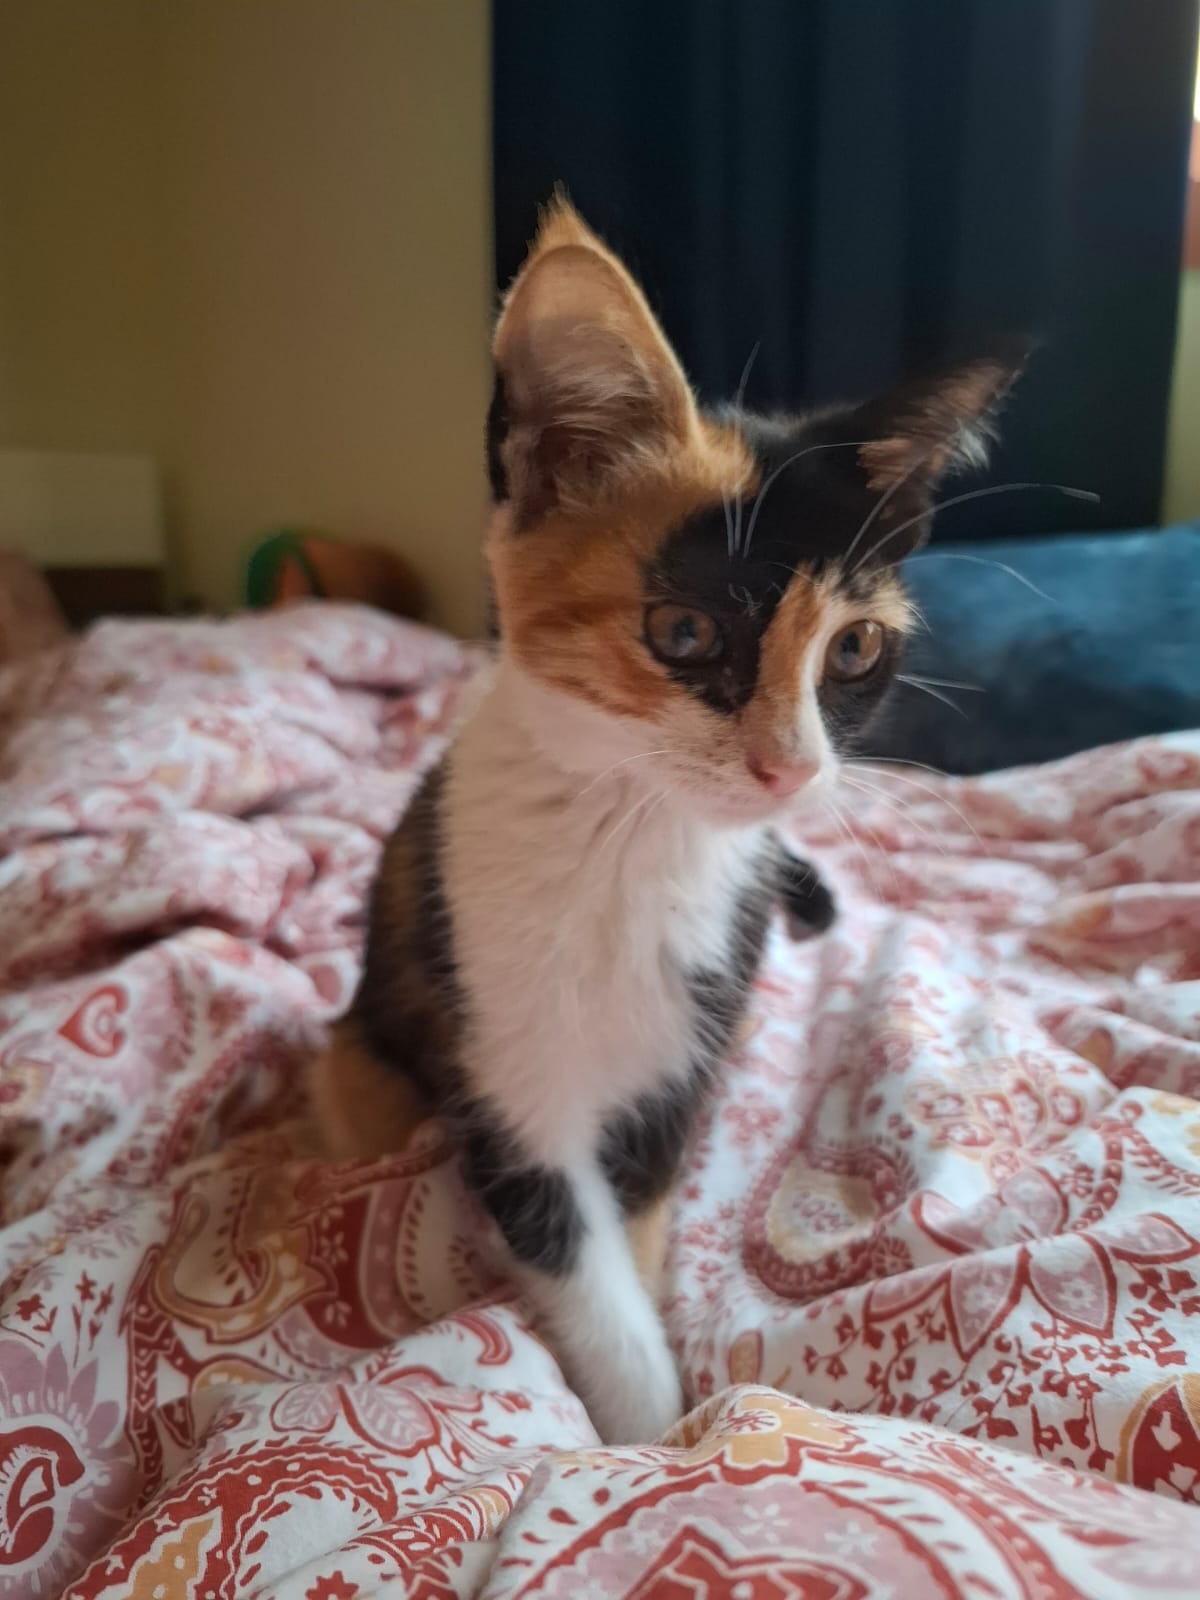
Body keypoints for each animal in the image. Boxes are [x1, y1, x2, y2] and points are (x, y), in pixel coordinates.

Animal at [310, 198, 1021, 1445]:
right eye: (684, 633)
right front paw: (645, 1430)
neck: (634, 840)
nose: (789, 769)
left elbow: (636, 1222)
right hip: (365, 1054)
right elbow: (570, 1244)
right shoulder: (500, 1064)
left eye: (854, 648)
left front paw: (664, 1410)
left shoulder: (682, 1054)